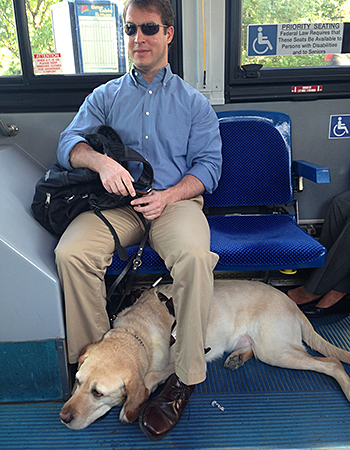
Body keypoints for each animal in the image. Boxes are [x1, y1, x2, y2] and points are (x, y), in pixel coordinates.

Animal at [60, 280, 350, 430]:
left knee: (333, 362)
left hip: (275, 350)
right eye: (77, 381)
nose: (63, 417)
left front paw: (130, 406)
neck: (135, 332)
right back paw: (237, 357)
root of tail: (291, 302)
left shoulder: (180, 360)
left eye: (98, 393)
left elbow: (152, 376)